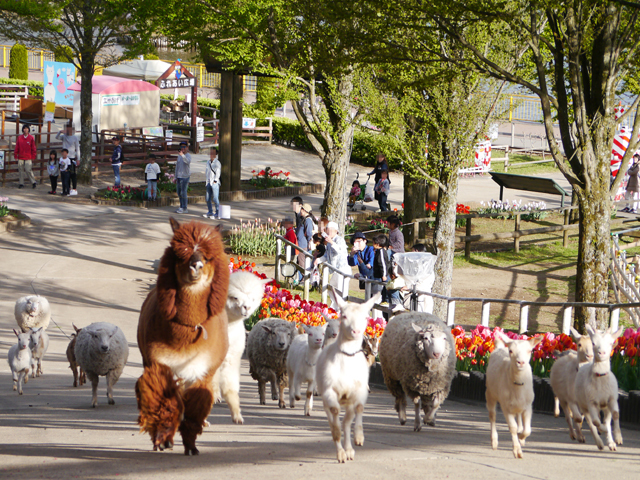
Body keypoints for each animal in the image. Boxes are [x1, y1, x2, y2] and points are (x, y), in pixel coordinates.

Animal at [212, 270, 268, 424]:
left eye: (253, 299)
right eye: (234, 297)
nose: (246, 308)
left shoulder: (231, 358)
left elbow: (230, 387)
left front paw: (237, 414)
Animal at [316, 286, 380, 464]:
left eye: (365, 316)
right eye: (343, 315)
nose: (356, 331)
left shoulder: (359, 390)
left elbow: (359, 408)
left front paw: (359, 438)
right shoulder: (330, 392)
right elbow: (335, 420)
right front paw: (341, 453)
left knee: (346, 421)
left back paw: (350, 450)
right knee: (335, 421)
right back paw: (342, 453)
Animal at [488, 332, 544, 460]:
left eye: (530, 351)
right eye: (511, 351)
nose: (521, 362)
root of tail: (500, 347)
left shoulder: (528, 405)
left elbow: (527, 430)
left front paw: (521, 438)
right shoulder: (505, 406)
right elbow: (512, 427)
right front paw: (517, 451)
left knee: (519, 417)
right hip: (490, 394)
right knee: (492, 415)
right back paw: (494, 442)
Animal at [572, 324, 624, 452]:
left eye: (611, 343)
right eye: (593, 343)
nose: (602, 353)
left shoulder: (612, 399)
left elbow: (616, 414)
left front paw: (618, 439)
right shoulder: (591, 402)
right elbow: (595, 421)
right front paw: (603, 430)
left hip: (605, 406)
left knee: (607, 419)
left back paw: (611, 443)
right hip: (583, 405)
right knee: (591, 423)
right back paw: (600, 443)